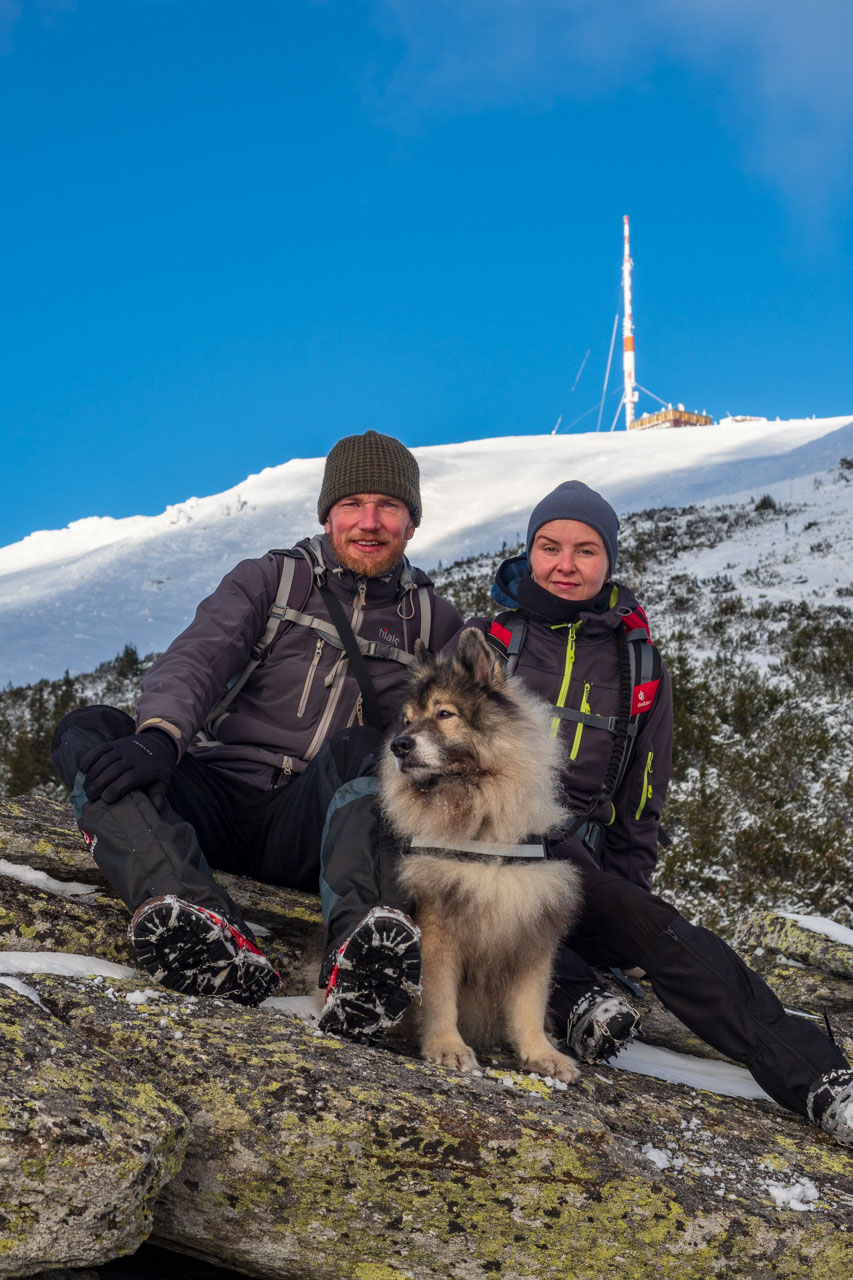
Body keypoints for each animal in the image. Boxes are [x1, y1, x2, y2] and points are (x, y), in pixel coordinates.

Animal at [381, 629, 581, 1080]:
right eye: (407, 720)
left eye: (444, 713)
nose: (398, 745)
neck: (485, 829)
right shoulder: (438, 925)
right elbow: (440, 997)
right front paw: (447, 1047)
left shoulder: (533, 926)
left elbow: (530, 1003)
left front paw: (541, 1052)